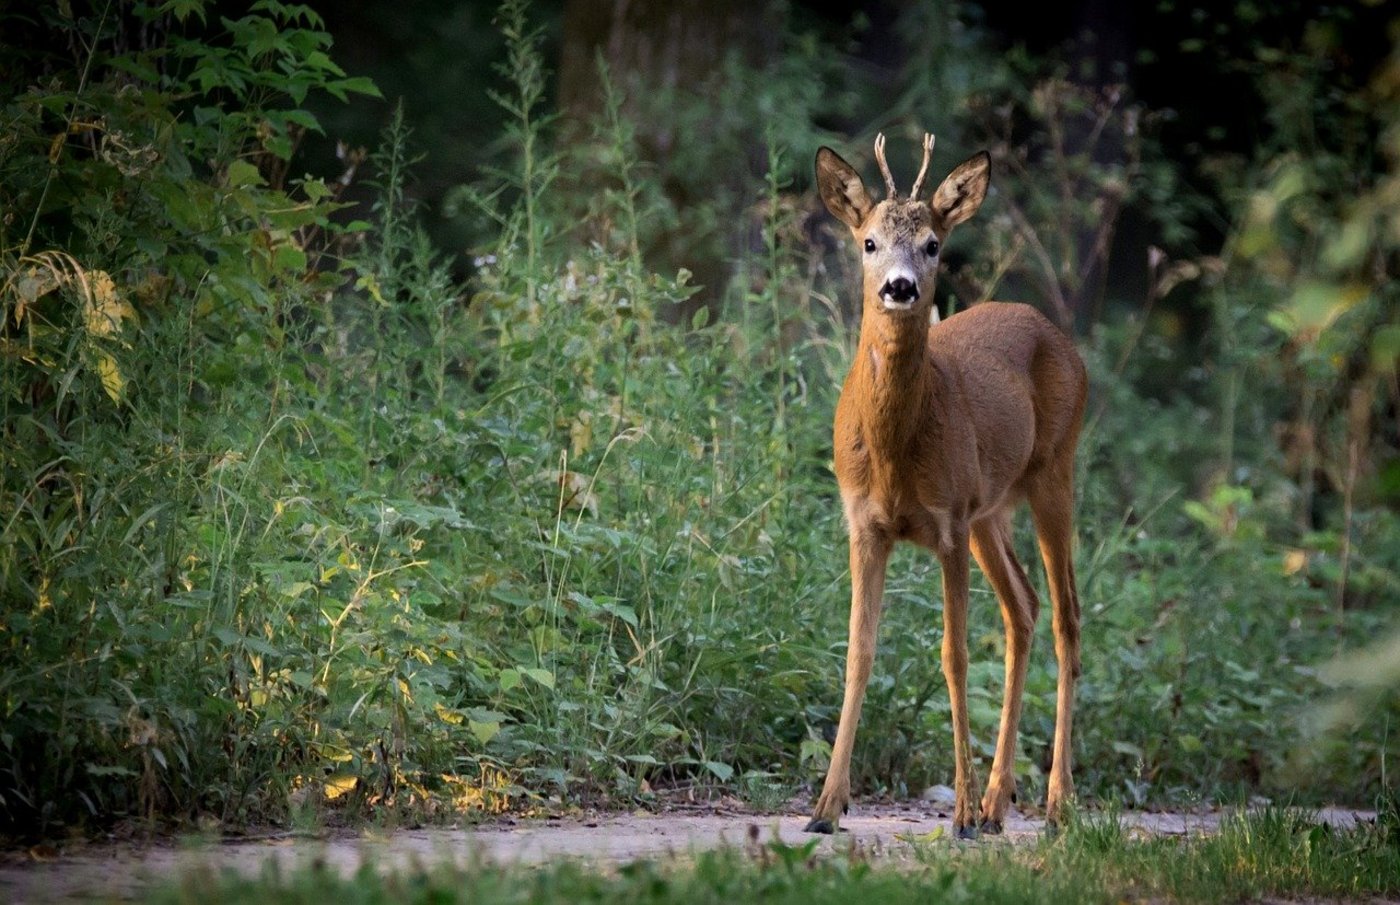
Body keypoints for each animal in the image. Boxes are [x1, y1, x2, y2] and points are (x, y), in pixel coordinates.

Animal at [804, 133, 1087, 839]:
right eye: (869, 241)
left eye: (933, 243)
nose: (902, 287)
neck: (894, 455)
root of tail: (1056, 331)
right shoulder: (864, 523)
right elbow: (858, 652)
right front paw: (825, 807)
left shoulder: (948, 521)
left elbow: (954, 656)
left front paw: (956, 812)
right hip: (992, 510)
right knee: (1024, 607)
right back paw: (996, 803)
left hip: (1053, 471)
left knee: (1066, 616)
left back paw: (1054, 802)